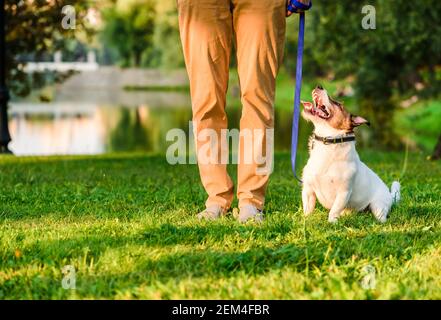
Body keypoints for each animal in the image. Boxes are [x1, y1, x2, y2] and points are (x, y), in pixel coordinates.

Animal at [300, 85, 400, 222]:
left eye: (338, 104)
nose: (319, 86)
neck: (330, 142)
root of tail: (390, 196)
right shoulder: (308, 189)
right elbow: (308, 209)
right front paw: (306, 221)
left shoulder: (344, 192)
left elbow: (334, 210)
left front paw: (331, 223)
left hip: (378, 206)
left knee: (382, 217)